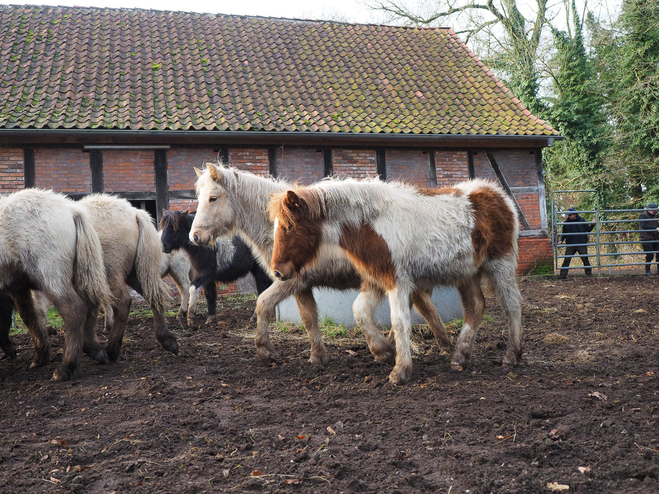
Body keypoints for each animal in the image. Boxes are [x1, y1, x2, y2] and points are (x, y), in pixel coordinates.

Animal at [188, 164, 452, 368]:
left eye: (213, 198)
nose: (195, 236)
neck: (278, 227)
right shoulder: (298, 283)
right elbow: (308, 318)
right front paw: (318, 356)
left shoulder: (291, 281)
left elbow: (263, 304)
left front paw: (265, 351)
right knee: (423, 305)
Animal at [270, 176, 524, 384]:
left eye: (289, 226)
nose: (278, 272)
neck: (371, 224)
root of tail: (500, 196)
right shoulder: (376, 278)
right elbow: (360, 311)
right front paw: (384, 351)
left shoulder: (397, 280)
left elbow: (399, 321)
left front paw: (400, 370)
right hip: (467, 273)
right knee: (475, 306)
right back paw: (459, 358)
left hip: (501, 265)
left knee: (512, 305)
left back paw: (512, 356)